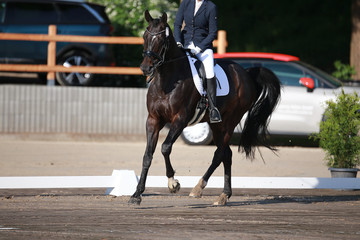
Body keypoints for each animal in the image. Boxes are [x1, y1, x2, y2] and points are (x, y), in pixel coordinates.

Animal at [129, 11, 282, 205]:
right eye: (145, 36)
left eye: (162, 40)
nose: (145, 67)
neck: (168, 81)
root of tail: (246, 74)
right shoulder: (153, 120)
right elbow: (148, 155)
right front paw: (137, 194)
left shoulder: (180, 120)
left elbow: (165, 148)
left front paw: (173, 183)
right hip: (216, 125)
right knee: (227, 154)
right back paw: (224, 195)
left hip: (229, 122)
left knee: (219, 154)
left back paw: (198, 188)